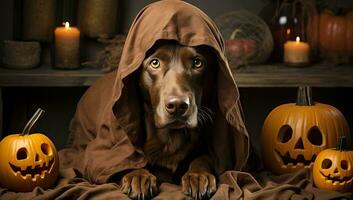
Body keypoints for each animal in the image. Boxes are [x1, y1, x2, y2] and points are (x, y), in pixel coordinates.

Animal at [119, 41, 216, 199]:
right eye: (154, 63)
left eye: (197, 63)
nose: (177, 106)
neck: (170, 137)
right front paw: (138, 176)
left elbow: (203, 157)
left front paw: (198, 175)